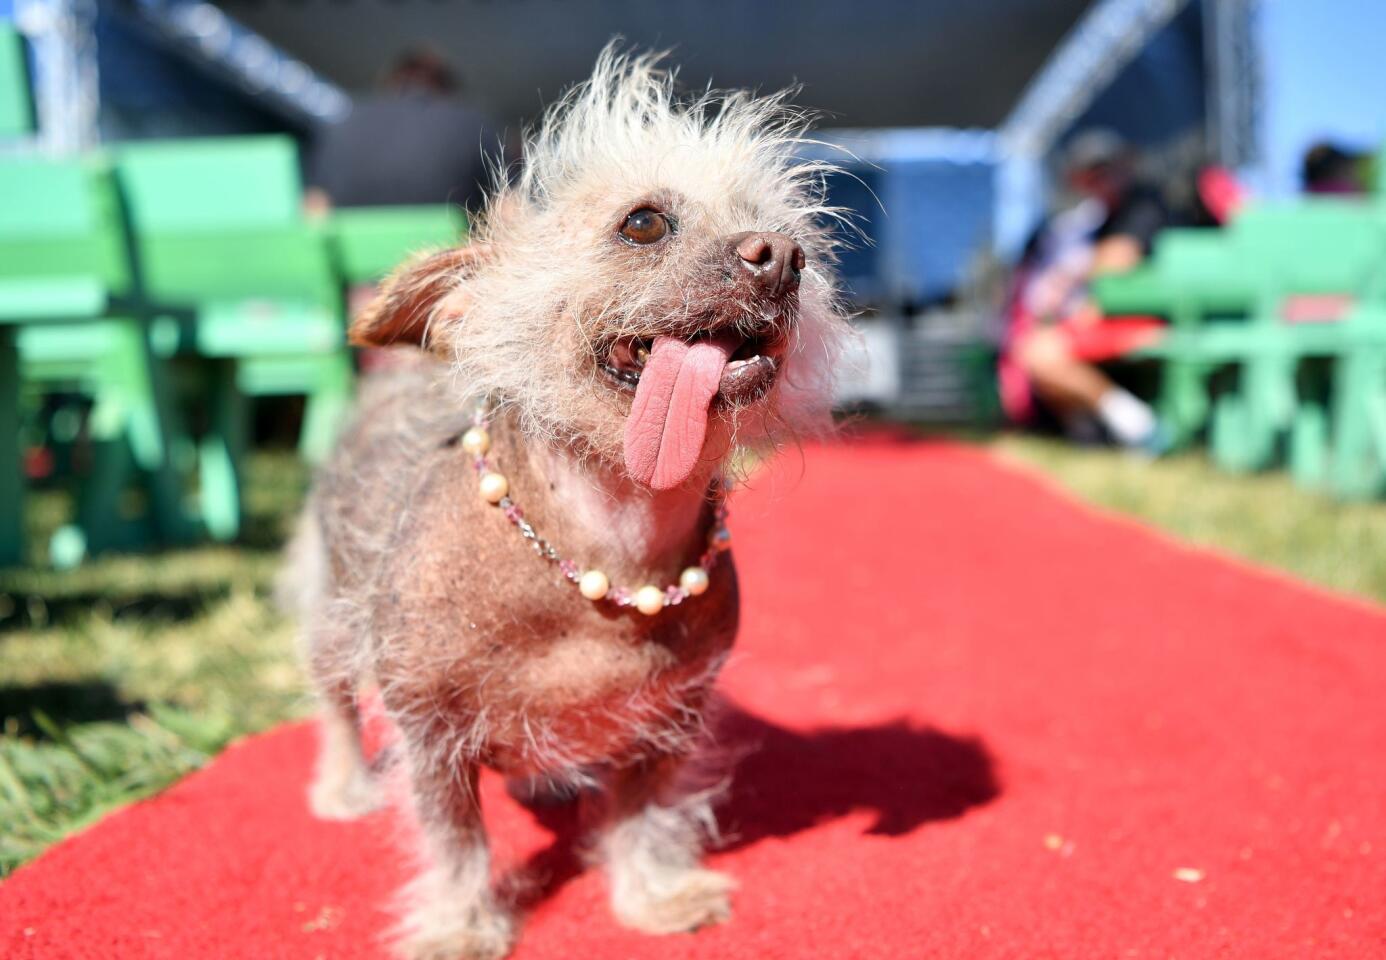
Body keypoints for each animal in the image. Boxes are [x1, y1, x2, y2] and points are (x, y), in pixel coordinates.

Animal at [278, 48, 842, 958]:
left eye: (785, 232)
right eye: (643, 224)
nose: (784, 255)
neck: (605, 551)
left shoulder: (669, 720)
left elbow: (642, 816)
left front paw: (651, 896)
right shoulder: (428, 732)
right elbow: (455, 838)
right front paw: (460, 927)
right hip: (330, 609)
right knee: (331, 699)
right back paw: (343, 784)